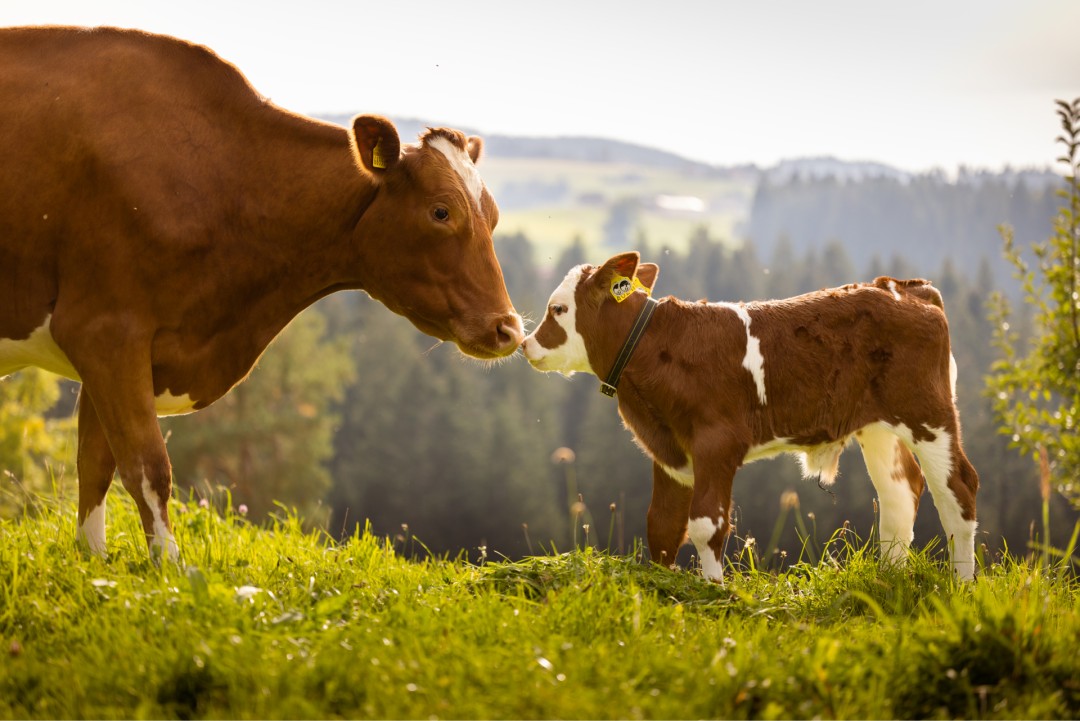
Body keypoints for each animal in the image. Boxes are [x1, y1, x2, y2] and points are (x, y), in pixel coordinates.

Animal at [0, 26, 524, 561]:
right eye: (441, 211)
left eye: (493, 215)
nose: (508, 328)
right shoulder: (104, 329)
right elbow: (148, 466)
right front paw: (170, 569)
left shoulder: (114, 350)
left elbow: (94, 467)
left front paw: (94, 562)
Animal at [522, 252, 979, 581]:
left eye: (558, 309)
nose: (526, 345)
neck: (658, 346)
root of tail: (908, 289)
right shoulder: (669, 451)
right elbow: (663, 526)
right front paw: (665, 587)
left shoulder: (717, 443)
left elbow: (706, 524)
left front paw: (713, 592)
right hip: (877, 426)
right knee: (900, 493)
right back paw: (888, 578)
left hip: (928, 413)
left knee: (958, 488)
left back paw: (961, 586)